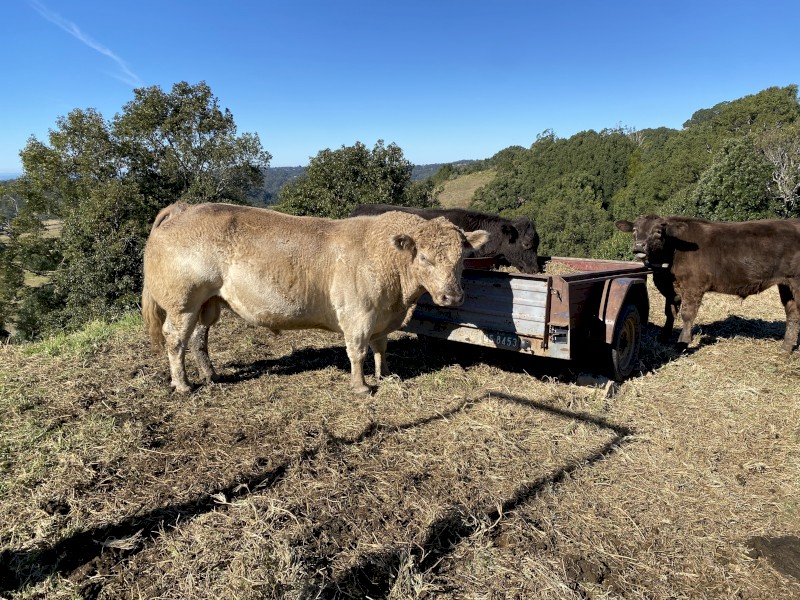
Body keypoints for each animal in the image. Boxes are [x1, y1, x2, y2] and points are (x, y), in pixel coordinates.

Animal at [142, 202, 489, 395]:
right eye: (426, 258)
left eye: (462, 258)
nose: (452, 296)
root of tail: (185, 208)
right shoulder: (358, 315)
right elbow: (358, 351)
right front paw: (362, 387)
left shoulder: (382, 316)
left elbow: (381, 348)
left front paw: (386, 375)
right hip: (183, 301)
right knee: (175, 339)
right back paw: (183, 384)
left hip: (208, 302)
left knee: (199, 338)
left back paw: (211, 375)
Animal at [615, 214, 800, 351]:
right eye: (634, 230)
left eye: (658, 231)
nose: (639, 246)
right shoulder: (670, 288)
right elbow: (670, 313)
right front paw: (663, 336)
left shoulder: (693, 286)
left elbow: (687, 314)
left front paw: (682, 342)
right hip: (786, 284)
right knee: (792, 313)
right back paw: (786, 348)